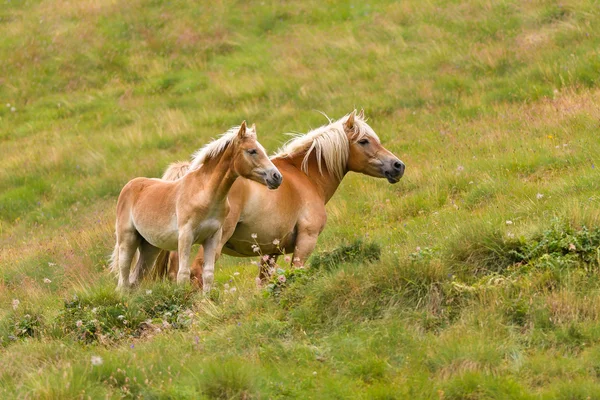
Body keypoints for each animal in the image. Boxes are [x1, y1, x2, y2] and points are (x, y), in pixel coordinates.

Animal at [109, 120, 282, 292]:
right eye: (252, 151)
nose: (277, 177)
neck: (205, 195)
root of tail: (129, 186)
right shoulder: (186, 236)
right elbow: (183, 274)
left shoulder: (213, 237)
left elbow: (208, 274)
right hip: (127, 241)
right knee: (123, 282)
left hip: (150, 248)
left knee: (133, 280)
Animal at [150, 109, 406, 284]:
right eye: (364, 141)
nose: (398, 166)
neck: (306, 176)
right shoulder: (306, 241)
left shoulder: (270, 252)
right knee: (197, 271)